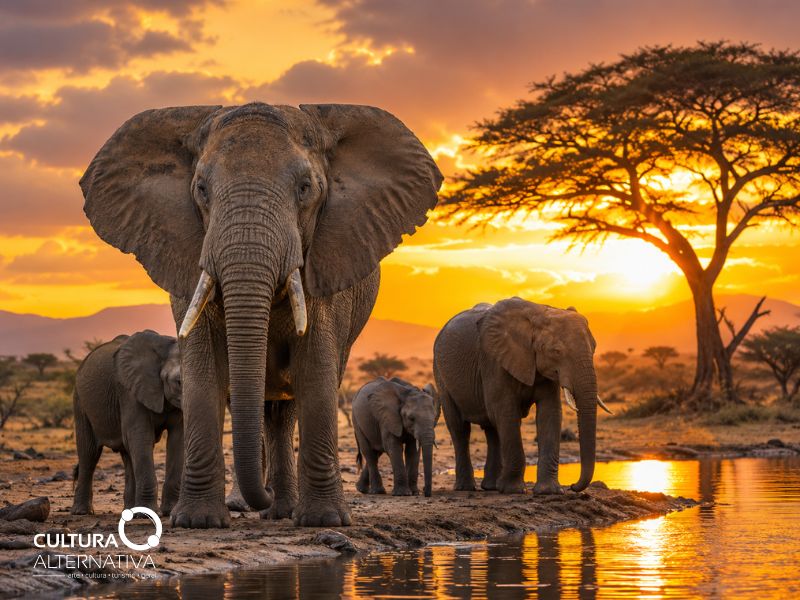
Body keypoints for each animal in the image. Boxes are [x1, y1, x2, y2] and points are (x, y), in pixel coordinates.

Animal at [71, 330, 183, 516]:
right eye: (179, 382)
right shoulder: (129, 392)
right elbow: (141, 437)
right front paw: (149, 515)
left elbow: (177, 439)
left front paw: (169, 512)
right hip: (80, 401)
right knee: (89, 453)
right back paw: (82, 512)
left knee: (128, 454)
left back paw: (130, 511)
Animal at [433, 298, 610, 495]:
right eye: (556, 351)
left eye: (594, 348)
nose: (572, 486)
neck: (540, 313)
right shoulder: (494, 361)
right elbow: (506, 411)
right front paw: (514, 490)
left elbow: (550, 413)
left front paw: (549, 491)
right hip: (441, 374)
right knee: (460, 428)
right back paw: (466, 488)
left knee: (492, 430)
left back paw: (491, 487)